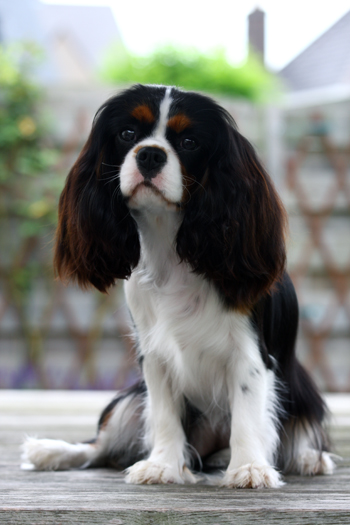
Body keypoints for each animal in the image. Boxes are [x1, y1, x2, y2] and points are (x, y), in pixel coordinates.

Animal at [20, 83, 334, 488]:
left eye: (188, 142)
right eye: (127, 134)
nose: (150, 154)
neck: (170, 246)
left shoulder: (251, 356)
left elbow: (248, 413)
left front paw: (249, 467)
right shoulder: (154, 357)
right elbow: (165, 414)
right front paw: (163, 465)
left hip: (302, 392)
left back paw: (307, 457)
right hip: (129, 400)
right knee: (100, 447)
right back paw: (52, 451)